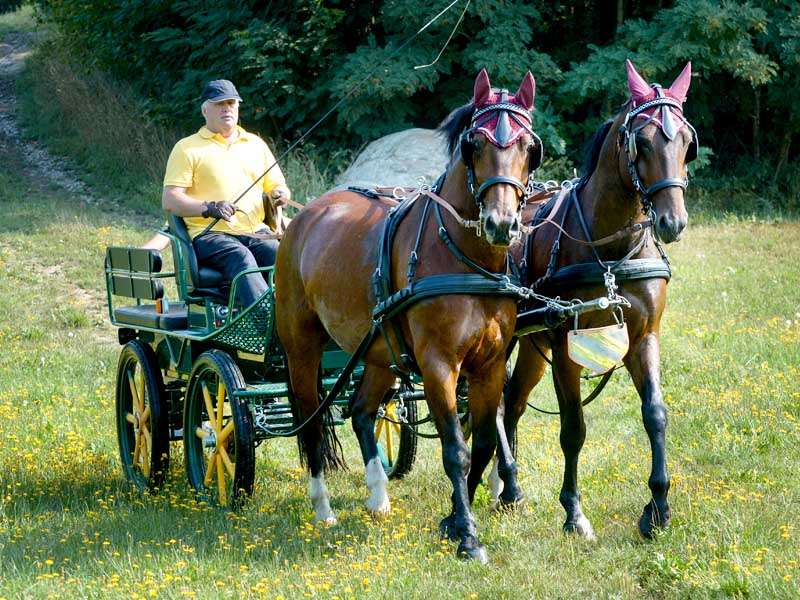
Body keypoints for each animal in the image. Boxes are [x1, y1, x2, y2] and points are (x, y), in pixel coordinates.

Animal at [276, 70, 544, 564]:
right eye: (475, 144)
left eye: (527, 146)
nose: (501, 224)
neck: (464, 256)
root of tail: (306, 215)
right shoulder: (439, 365)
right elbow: (456, 450)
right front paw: (467, 536)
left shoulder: (490, 363)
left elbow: (483, 441)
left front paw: (457, 519)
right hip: (300, 347)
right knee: (311, 422)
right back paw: (323, 507)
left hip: (380, 352)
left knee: (362, 411)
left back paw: (377, 495)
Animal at [490, 59, 696, 540]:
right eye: (642, 141)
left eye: (685, 140)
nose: (672, 222)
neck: (610, 249)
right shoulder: (567, 343)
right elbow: (573, 428)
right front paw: (573, 512)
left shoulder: (644, 336)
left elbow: (655, 413)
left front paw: (658, 507)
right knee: (495, 403)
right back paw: (507, 483)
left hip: (533, 345)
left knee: (514, 400)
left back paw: (507, 486)